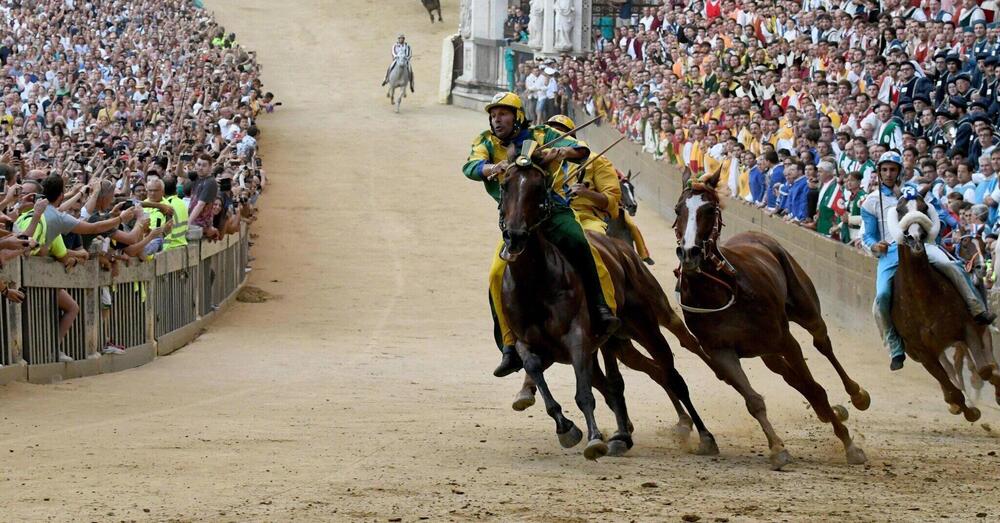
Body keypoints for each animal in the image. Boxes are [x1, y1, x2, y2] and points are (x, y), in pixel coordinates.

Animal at [500, 145, 720, 460]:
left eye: (538, 188)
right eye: (505, 185)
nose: (515, 236)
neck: (536, 282)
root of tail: (623, 252)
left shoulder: (578, 336)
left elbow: (586, 392)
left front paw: (594, 438)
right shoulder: (528, 341)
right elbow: (536, 371)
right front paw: (567, 427)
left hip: (647, 322)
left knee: (673, 369)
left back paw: (703, 432)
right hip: (618, 341)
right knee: (650, 373)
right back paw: (634, 431)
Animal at [672, 171, 876, 470]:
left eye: (709, 210)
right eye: (679, 210)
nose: (689, 253)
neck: (722, 289)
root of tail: (757, 235)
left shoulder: (784, 339)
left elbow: (815, 387)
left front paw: (850, 445)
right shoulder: (721, 351)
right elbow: (754, 401)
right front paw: (778, 448)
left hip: (804, 307)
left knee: (822, 343)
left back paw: (857, 395)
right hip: (765, 350)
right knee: (789, 374)